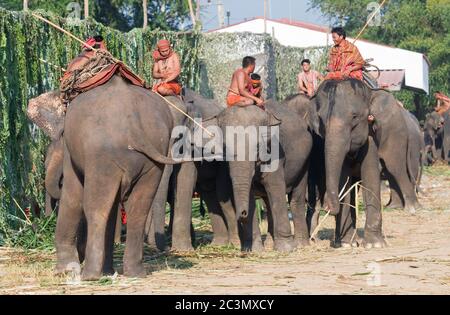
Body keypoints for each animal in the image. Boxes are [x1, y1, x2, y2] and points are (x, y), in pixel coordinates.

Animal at [56, 74, 181, 282]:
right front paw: (107, 271)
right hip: (153, 160)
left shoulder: (70, 148)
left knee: (96, 208)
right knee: (139, 209)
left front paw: (64, 270)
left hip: (102, 157)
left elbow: (72, 195)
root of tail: (133, 121)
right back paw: (135, 273)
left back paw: (90, 275)